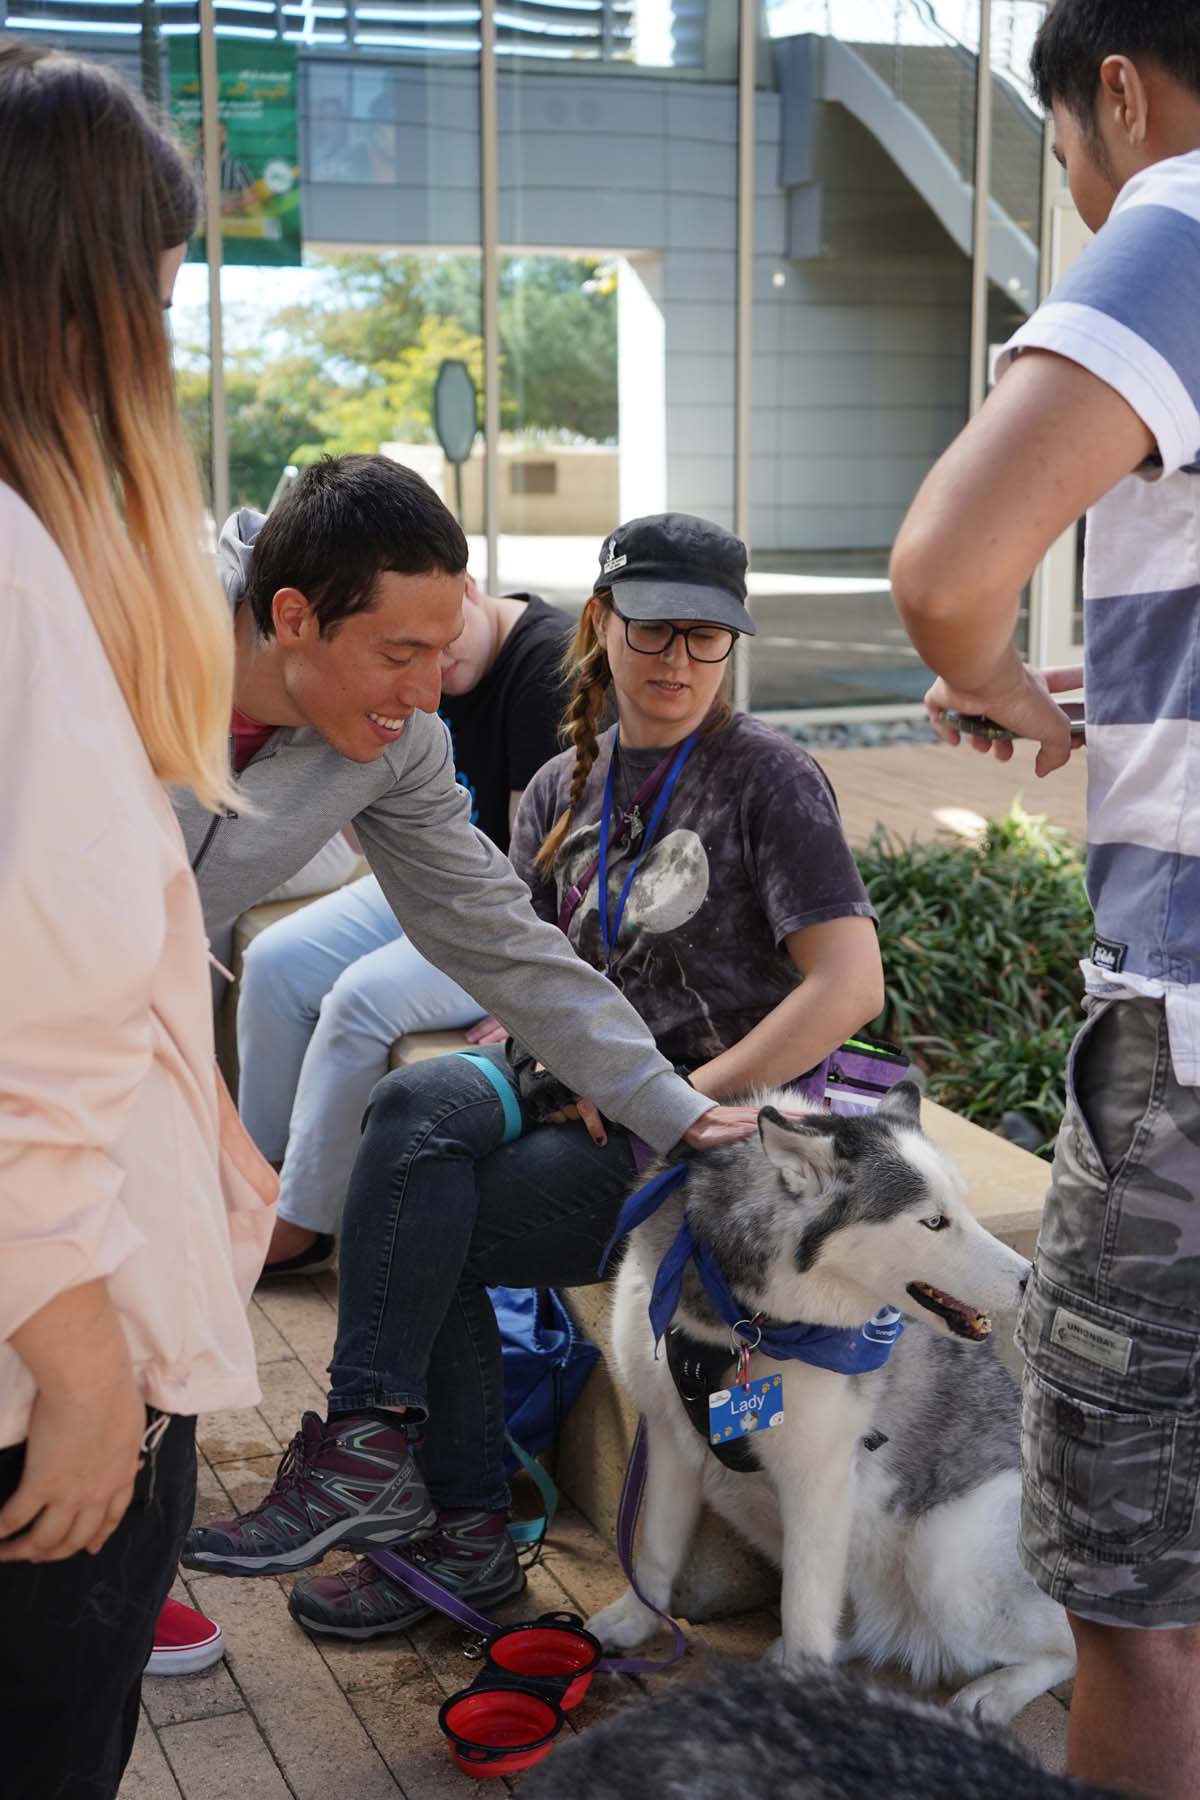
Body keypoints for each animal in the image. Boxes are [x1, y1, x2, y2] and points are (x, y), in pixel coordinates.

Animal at [586, 1072, 1072, 1720]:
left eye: (965, 1207)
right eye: (934, 1222)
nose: (1031, 1279)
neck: (741, 1326)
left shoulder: (818, 1476)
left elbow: (803, 1606)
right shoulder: (670, 1438)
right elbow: (655, 1552)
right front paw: (637, 1622)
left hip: (945, 1556)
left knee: (1069, 1650)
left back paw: (994, 1692)